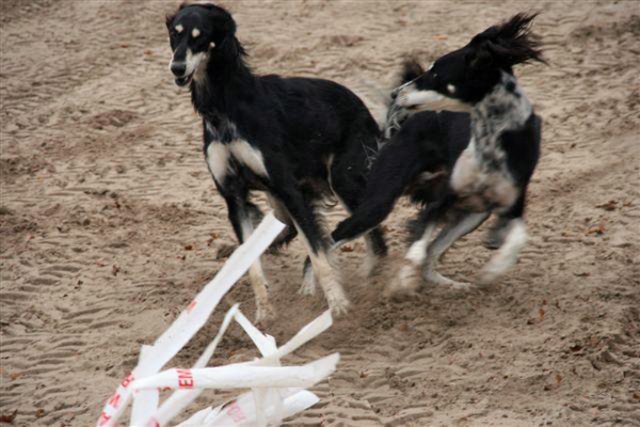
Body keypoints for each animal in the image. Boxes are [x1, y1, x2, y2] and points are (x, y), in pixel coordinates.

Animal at [165, 2, 384, 320]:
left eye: (200, 36)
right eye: (175, 33)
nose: (177, 68)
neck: (224, 104)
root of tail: (361, 105)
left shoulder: (287, 188)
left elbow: (318, 253)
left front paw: (338, 306)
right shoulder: (235, 196)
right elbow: (253, 264)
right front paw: (265, 313)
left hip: (343, 180)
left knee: (374, 236)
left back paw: (373, 281)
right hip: (283, 199)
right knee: (288, 228)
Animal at [330, 12, 544, 294]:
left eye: (434, 72)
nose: (395, 93)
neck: (492, 141)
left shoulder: (513, 201)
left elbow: (519, 234)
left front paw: (494, 268)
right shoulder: (442, 199)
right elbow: (419, 243)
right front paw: (404, 280)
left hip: (474, 214)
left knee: (433, 252)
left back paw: (451, 285)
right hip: (379, 202)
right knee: (335, 235)